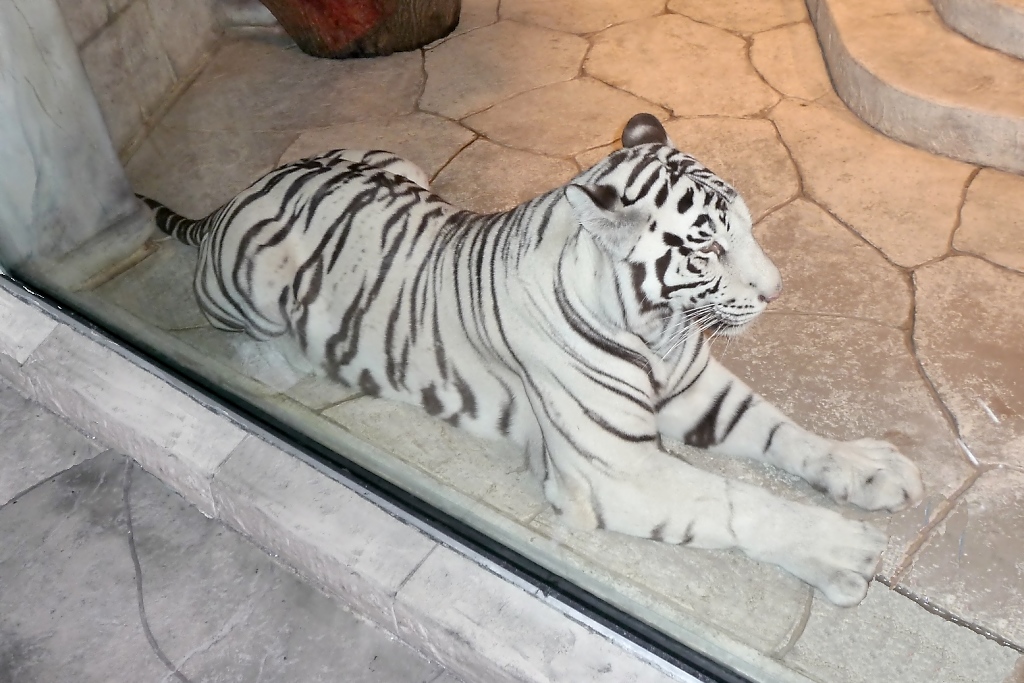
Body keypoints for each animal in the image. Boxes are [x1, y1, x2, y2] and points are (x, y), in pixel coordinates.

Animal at [140, 114, 925, 606]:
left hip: (398, 163)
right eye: (706, 247)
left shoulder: (696, 389)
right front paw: (844, 551)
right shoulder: (616, 470)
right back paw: (283, 364)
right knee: (246, 337)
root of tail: (232, 198)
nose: (776, 291)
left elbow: (787, 435)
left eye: (749, 223)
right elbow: (737, 500)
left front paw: (873, 468)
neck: (656, 329)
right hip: (259, 287)